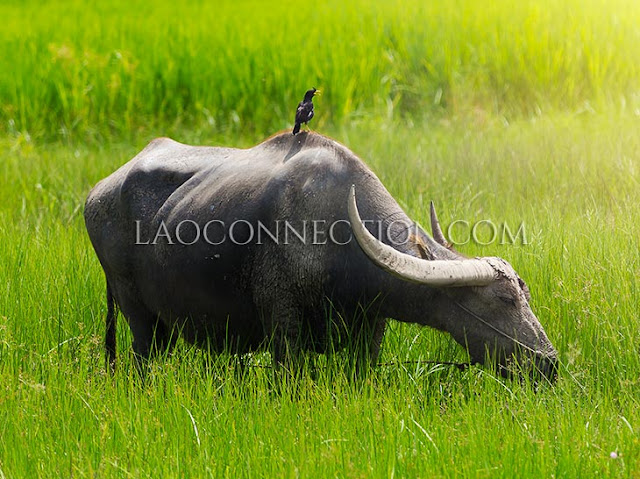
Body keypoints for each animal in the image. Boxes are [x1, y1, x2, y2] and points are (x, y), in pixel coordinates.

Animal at [84, 130, 556, 378]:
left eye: (526, 296)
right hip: (138, 316)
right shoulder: (283, 325)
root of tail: (97, 193)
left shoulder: (370, 329)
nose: (547, 362)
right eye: (503, 300)